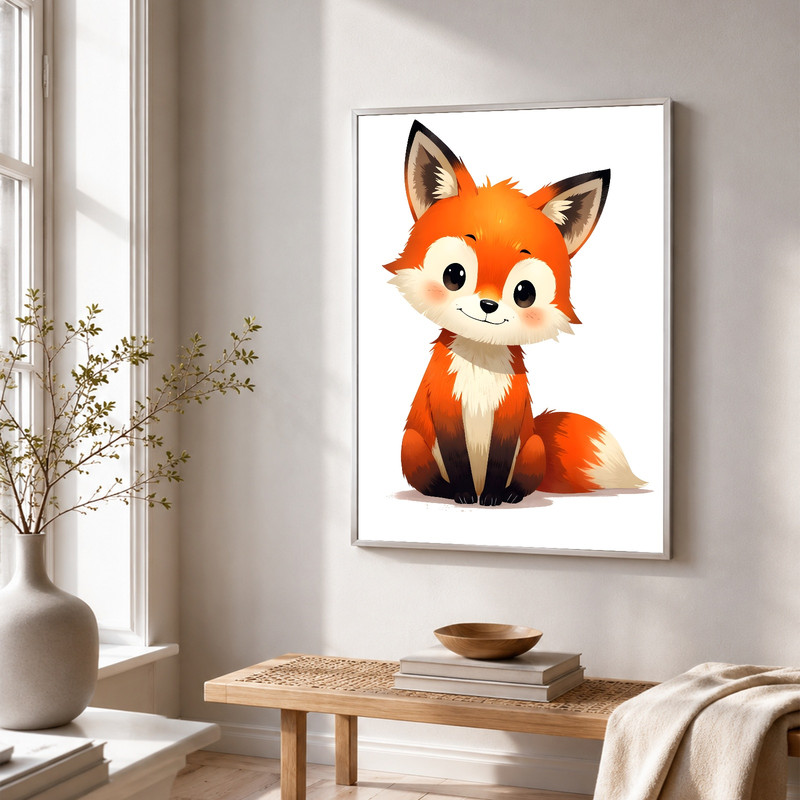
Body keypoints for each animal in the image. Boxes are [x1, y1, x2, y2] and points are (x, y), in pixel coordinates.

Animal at [384, 120, 644, 506]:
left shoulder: (510, 414)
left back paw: (512, 494)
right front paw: (464, 494)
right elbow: (457, 459)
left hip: (532, 445)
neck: (480, 369)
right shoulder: (446, 407)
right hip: (413, 443)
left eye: (524, 292)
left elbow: (498, 462)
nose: (488, 306)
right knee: (428, 479)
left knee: (524, 479)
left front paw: (492, 497)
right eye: (454, 275)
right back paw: (445, 491)